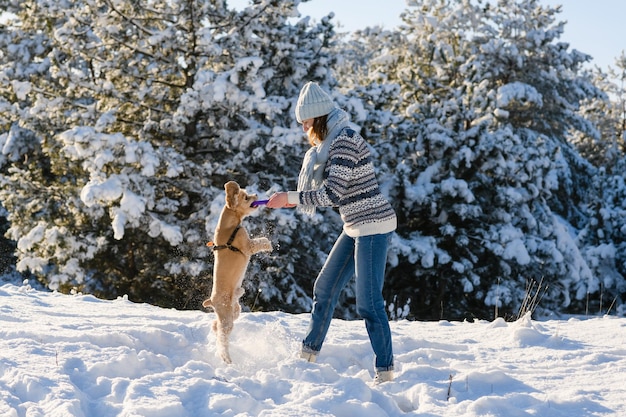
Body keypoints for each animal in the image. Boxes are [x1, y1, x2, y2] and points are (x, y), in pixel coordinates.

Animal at [202, 180, 270, 362]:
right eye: (246, 197)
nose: (256, 195)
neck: (230, 225)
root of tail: (212, 301)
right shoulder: (247, 246)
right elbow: (259, 242)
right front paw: (269, 245)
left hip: (234, 312)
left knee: (215, 325)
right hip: (227, 318)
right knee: (222, 337)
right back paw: (226, 358)